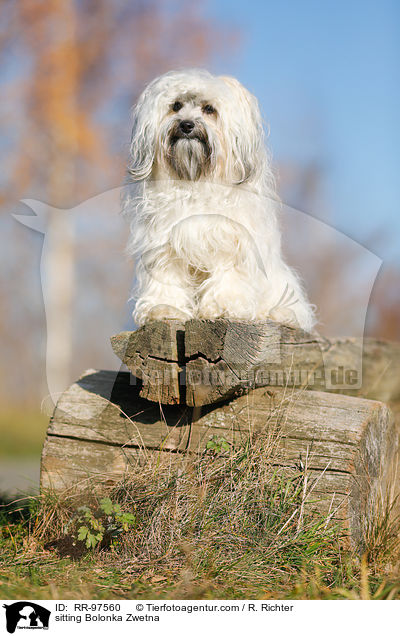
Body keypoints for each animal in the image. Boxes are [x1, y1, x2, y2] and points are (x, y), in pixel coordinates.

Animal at [122, 68, 316, 332]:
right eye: (176, 106)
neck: (195, 182)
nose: (186, 124)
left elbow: (228, 275)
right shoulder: (163, 244)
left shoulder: (231, 241)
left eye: (209, 109)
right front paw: (163, 309)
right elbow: (167, 276)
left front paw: (224, 307)